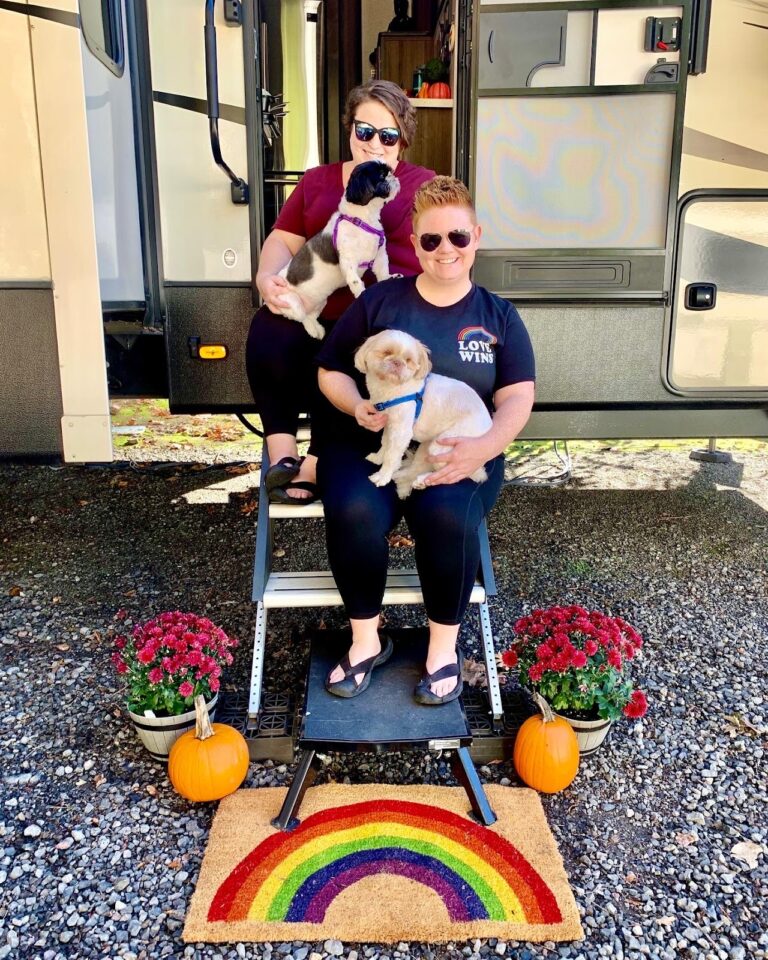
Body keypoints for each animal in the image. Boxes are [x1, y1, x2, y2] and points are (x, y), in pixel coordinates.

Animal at [274, 163, 400, 344]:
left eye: (390, 171)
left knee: (310, 316)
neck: (362, 219)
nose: (393, 176)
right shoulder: (348, 260)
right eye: (382, 175)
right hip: (291, 303)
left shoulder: (379, 254)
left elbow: (383, 271)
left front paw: (388, 279)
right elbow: (355, 282)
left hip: (321, 302)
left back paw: (317, 329)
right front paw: (362, 294)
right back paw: (312, 329)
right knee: (302, 317)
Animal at [354, 328, 492, 498]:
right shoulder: (389, 423)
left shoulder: (401, 431)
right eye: (387, 352)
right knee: (416, 468)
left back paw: (423, 481)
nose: (398, 362)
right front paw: (378, 458)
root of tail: (489, 424)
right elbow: (385, 443)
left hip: (444, 446)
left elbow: (391, 455)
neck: (391, 389)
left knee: (454, 474)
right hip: (427, 449)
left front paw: (383, 476)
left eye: (408, 360)